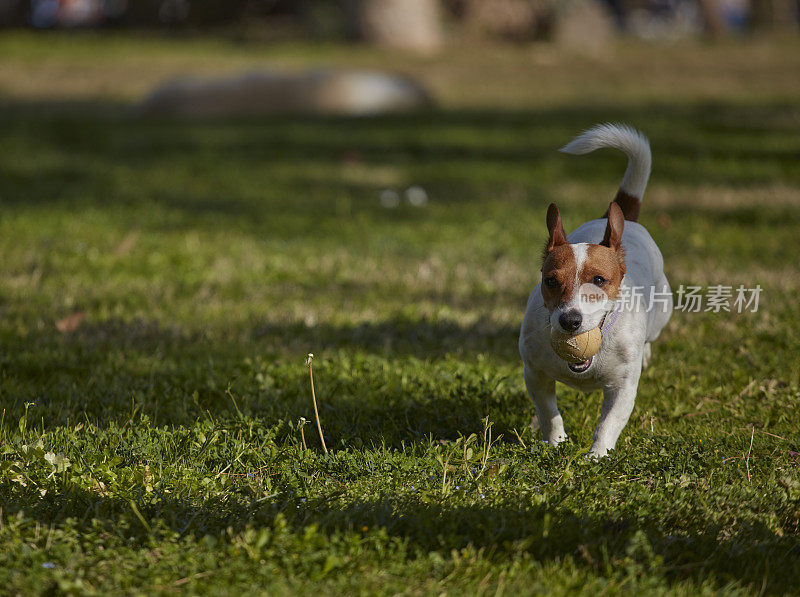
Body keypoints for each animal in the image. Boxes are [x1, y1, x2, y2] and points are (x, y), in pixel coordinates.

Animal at [516, 122, 672, 456]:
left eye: (599, 280)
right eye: (551, 281)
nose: (570, 321)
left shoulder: (623, 387)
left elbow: (608, 423)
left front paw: (597, 456)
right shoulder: (535, 373)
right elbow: (548, 413)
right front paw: (556, 442)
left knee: (652, 336)